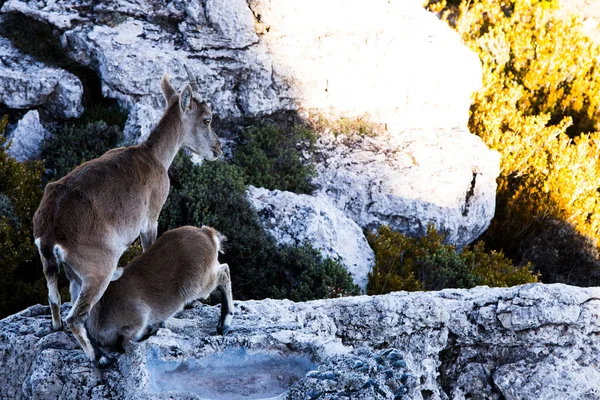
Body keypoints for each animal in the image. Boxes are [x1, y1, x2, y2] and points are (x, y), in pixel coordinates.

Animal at [85, 227, 233, 352]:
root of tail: (207, 233)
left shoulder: (138, 318)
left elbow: (126, 342)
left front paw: (153, 328)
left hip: (197, 283)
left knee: (224, 272)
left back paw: (224, 324)